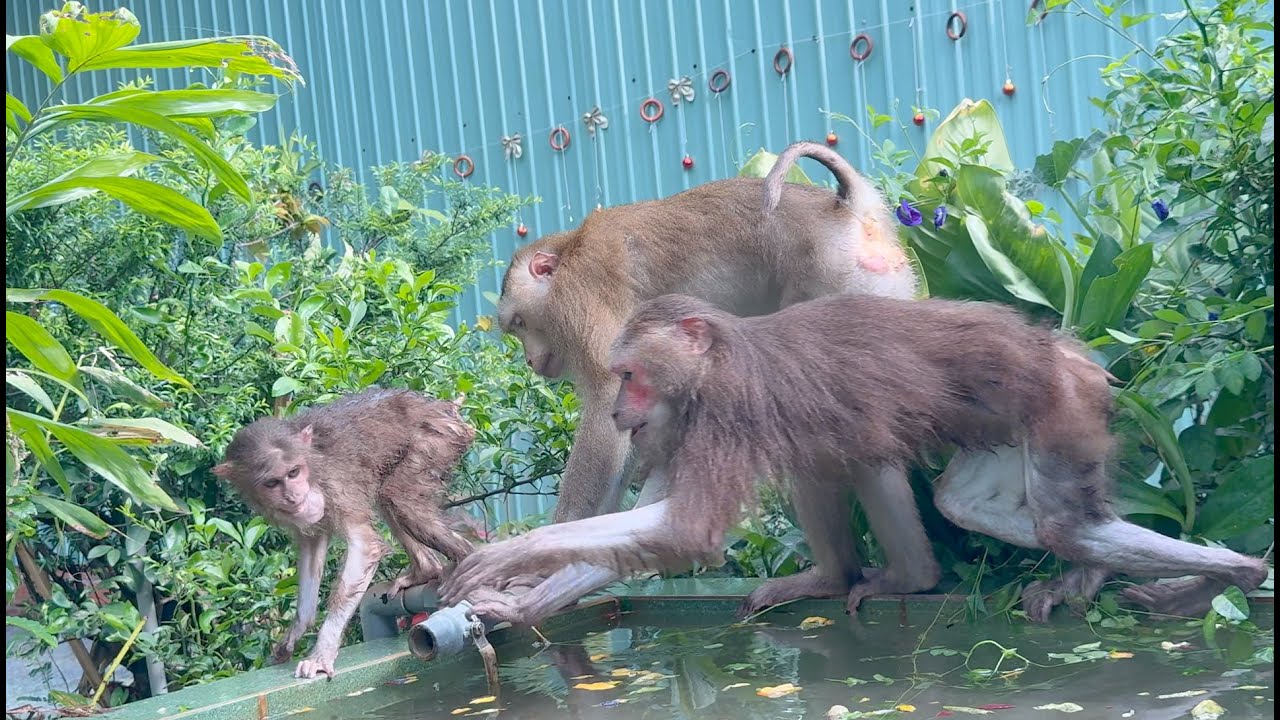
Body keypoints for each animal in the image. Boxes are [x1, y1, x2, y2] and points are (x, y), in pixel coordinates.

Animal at [213, 388, 476, 679]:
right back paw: (426, 570)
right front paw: (298, 628)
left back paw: (464, 562)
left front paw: (322, 651)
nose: (294, 497)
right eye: (272, 483)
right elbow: (312, 547)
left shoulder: (334, 484)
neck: (312, 465)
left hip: (438, 438)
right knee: (388, 497)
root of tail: (443, 407)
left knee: (399, 498)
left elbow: (366, 546)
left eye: (293, 472)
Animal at [442, 294, 1269, 622]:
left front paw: (511, 558)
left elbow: (687, 530)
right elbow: (663, 526)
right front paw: (526, 602)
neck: (715, 363)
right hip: (1018, 425)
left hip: (1060, 405)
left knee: (1055, 519)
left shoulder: (724, 406)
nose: (619, 411)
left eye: (630, 374)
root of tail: (1066, 350)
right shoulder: (685, 421)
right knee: (954, 498)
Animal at [478, 141, 917, 624]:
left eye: (520, 323)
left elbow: (609, 411)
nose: (530, 359)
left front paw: (541, 562)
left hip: (838, 286)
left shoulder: (582, 297)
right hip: (886, 288)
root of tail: (849, 206)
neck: (569, 252)